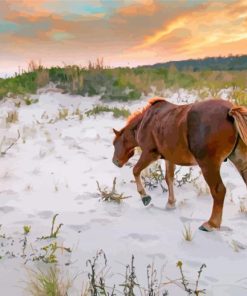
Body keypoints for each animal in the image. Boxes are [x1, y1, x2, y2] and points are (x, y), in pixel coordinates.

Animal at [113, 97, 247, 231]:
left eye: (115, 143)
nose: (115, 161)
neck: (144, 121)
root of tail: (230, 110)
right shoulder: (169, 158)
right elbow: (169, 178)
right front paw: (170, 203)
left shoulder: (149, 154)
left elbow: (135, 170)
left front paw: (145, 197)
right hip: (240, 162)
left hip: (208, 166)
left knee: (219, 191)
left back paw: (211, 224)